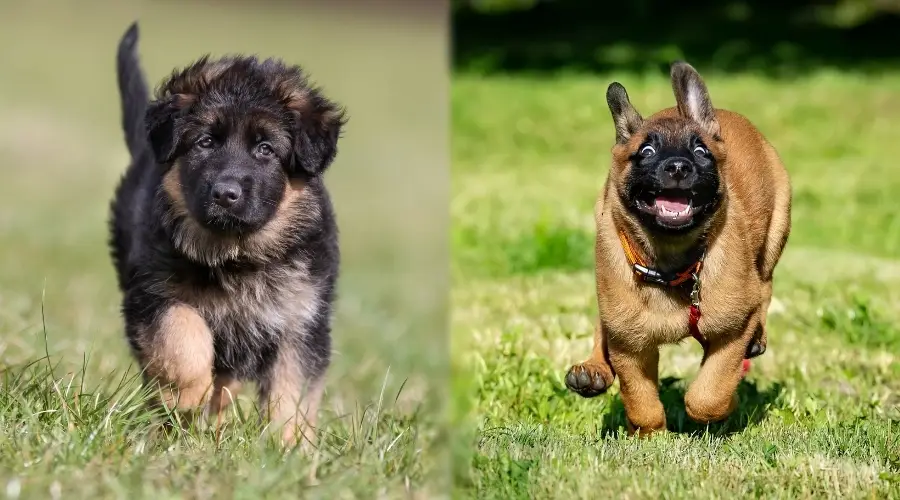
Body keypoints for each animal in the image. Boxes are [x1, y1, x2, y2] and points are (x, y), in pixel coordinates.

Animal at [106, 22, 344, 446]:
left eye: (265, 149)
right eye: (205, 142)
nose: (225, 193)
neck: (238, 256)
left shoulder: (302, 321)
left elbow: (291, 392)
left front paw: (288, 448)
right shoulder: (152, 295)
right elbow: (183, 339)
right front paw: (185, 397)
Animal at [568, 61, 792, 434]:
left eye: (701, 153)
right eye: (646, 152)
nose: (677, 166)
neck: (669, 264)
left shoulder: (732, 333)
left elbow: (708, 395)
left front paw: (727, 404)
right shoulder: (631, 347)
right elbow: (641, 401)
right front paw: (650, 435)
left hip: (774, 237)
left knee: (765, 286)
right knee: (602, 325)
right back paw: (593, 370)